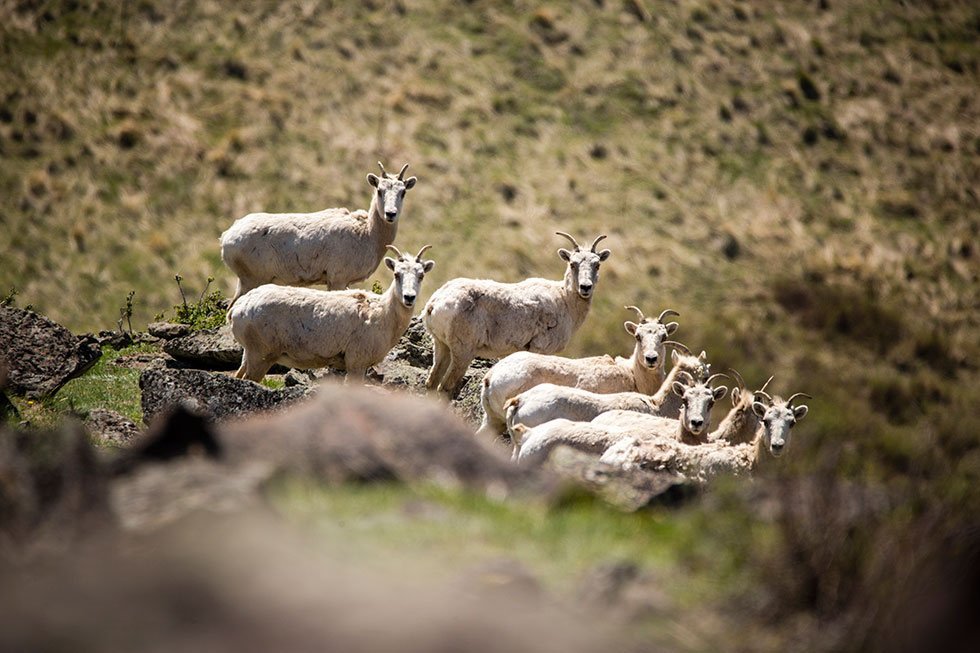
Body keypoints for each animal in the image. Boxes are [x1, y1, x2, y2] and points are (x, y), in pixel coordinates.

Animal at [220, 160, 420, 308]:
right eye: (379, 190)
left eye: (403, 192)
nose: (390, 214)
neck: (368, 235)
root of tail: (226, 238)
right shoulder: (337, 280)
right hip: (252, 280)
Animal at [229, 244, 432, 382]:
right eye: (397, 274)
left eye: (421, 275)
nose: (409, 297)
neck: (383, 314)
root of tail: (238, 309)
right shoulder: (356, 364)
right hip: (261, 356)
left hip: (250, 354)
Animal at [424, 234, 608, 398]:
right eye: (572, 264)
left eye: (597, 265)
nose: (585, 287)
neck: (565, 300)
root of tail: (434, 303)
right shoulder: (539, 349)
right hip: (463, 351)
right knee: (444, 388)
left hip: (441, 345)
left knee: (431, 383)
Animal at [476, 308, 680, 440]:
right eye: (638, 336)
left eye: (664, 337)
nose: (651, 359)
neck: (632, 375)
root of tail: (490, 377)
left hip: (492, 421)